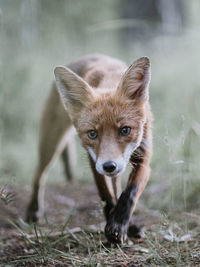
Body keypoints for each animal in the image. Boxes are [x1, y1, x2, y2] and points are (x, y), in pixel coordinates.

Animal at [25, 54, 152, 245]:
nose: (109, 166)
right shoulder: (95, 161)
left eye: (125, 130)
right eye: (92, 133)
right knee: (39, 174)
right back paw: (33, 210)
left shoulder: (143, 158)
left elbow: (129, 193)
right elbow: (106, 196)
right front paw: (113, 228)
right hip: (51, 142)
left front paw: (119, 225)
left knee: (118, 186)